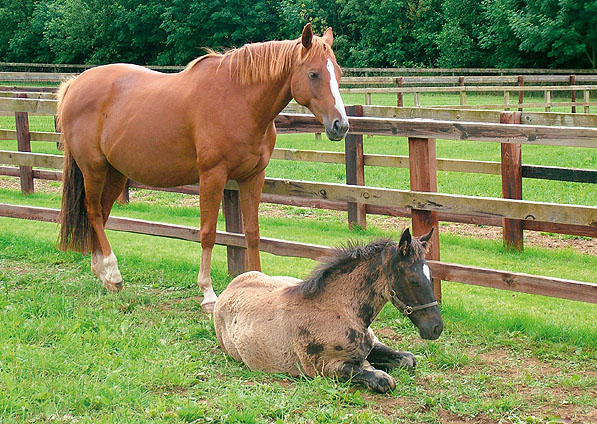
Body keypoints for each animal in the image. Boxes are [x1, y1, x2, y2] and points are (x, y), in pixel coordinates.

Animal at [57, 24, 346, 312]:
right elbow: (208, 232)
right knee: (94, 212)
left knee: (102, 213)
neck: (239, 101)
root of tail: (74, 85)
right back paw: (113, 272)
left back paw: (104, 275)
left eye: (339, 73)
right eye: (313, 74)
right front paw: (208, 293)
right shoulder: (212, 176)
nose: (340, 125)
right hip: (93, 168)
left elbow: (252, 233)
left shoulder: (253, 177)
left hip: (115, 173)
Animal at [214, 229, 442, 394]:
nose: (436, 328)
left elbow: (408, 360)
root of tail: (231, 286)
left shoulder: (373, 344)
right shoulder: (324, 367)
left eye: (431, 276)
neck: (341, 310)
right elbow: (383, 379)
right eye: (413, 279)